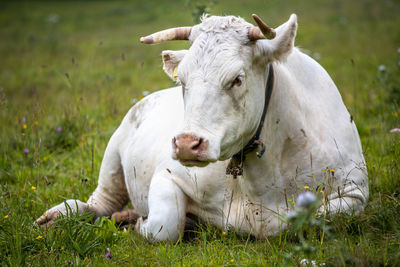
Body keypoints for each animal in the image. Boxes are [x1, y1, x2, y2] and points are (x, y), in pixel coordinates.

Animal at [36, 13, 368, 242]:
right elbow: (164, 226)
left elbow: (308, 219)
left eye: (237, 78)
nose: (186, 143)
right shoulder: (167, 173)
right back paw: (63, 215)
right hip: (113, 154)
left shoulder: (355, 193)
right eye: (182, 80)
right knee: (100, 202)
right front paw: (140, 222)